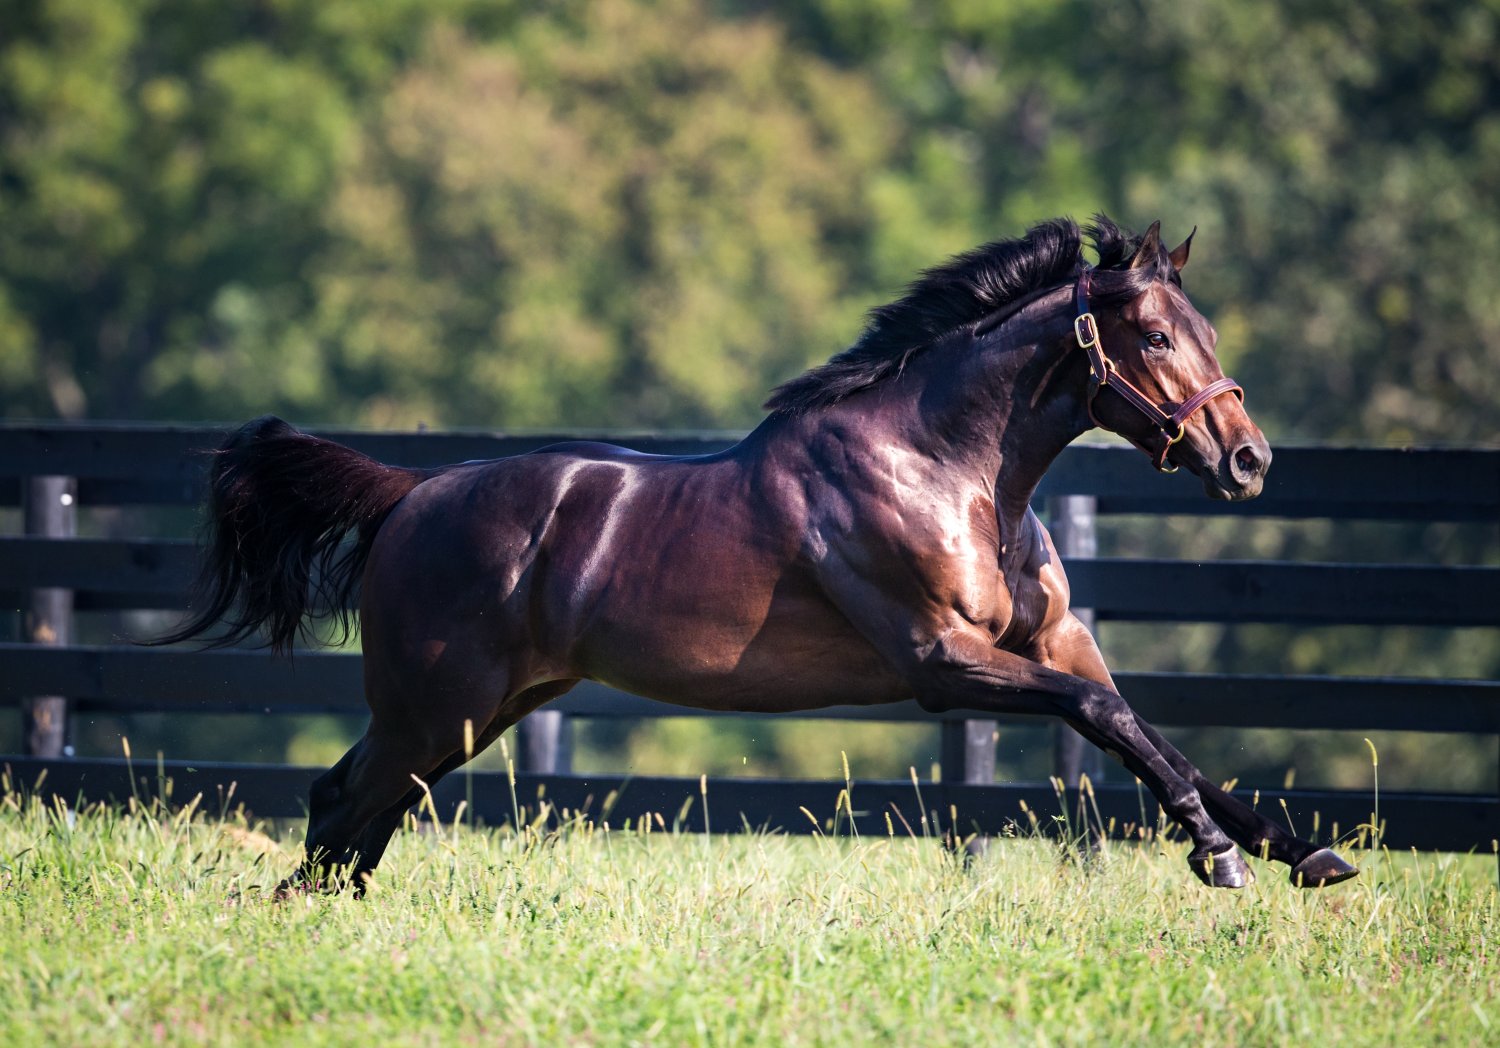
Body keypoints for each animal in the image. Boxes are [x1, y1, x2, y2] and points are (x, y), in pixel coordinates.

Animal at [156, 216, 1358, 893]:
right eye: (1153, 336)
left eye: (1203, 329)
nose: (1248, 459)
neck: (947, 468)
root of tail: (411, 495)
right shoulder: (941, 662)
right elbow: (1116, 723)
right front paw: (1217, 855)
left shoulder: (1056, 642)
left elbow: (1154, 734)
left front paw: (1303, 851)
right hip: (435, 706)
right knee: (341, 807)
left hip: (475, 711)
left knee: (350, 810)